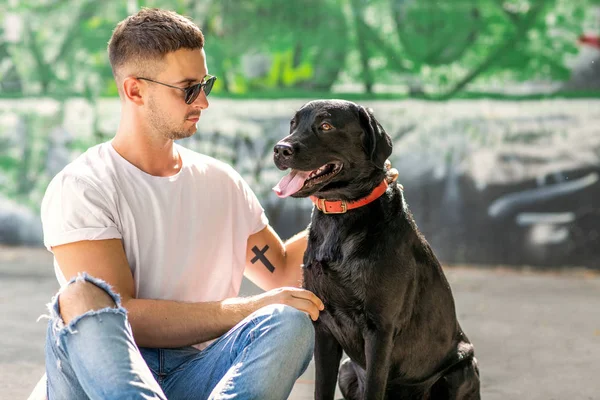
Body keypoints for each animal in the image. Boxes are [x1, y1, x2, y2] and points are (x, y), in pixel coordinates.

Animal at [274, 98, 480, 398]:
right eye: (293, 123)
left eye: (326, 126)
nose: (280, 149)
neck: (340, 216)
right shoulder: (323, 327)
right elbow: (321, 388)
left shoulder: (380, 329)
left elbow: (374, 386)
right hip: (348, 370)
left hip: (459, 372)